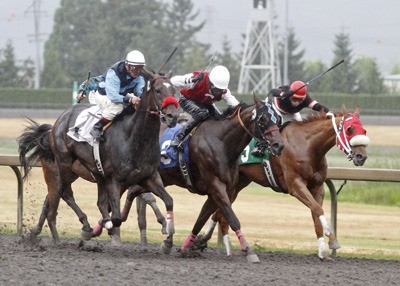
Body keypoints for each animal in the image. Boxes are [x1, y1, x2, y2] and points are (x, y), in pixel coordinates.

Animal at [18, 70, 178, 254]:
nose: (173, 116)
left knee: (52, 200)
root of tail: (54, 126)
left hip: (87, 173)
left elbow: (168, 200)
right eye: (158, 90)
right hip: (62, 165)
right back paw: (81, 228)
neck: (134, 138)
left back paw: (39, 234)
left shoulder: (148, 177)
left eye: (174, 90)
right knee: (64, 193)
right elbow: (116, 216)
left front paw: (168, 241)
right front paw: (98, 230)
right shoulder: (116, 180)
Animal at [122, 96, 284, 264]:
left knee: (133, 191)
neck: (222, 142)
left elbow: (201, 219)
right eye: (263, 119)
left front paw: (186, 247)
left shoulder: (218, 192)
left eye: (278, 119)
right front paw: (249, 251)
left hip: (159, 179)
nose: (279, 145)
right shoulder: (216, 187)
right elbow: (232, 219)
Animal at [196, 105, 368, 262]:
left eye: (364, 131)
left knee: (220, 213)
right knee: (220, 212)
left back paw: (218, 245)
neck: (307, 146)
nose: (362, 157)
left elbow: (315, 214)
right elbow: (318, 209)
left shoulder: (317, 187)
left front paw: (323, 252)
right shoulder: (295, 185)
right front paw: (332, 239)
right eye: (350, 129)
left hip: (238, 183)